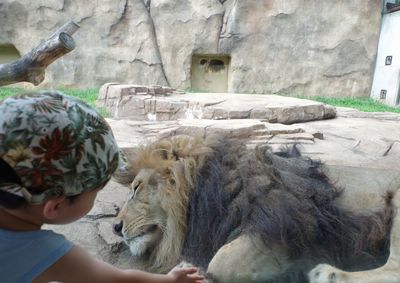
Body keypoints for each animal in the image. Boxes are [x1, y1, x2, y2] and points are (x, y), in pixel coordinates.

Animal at [111, 135, 394, 282]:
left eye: (136, 189)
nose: (115, 226)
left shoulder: (287, 226)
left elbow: (221, 262)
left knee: (391, 268)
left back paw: (326, 273)